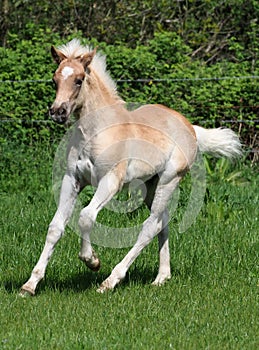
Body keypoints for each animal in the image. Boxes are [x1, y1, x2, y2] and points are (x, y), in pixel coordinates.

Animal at [20, 39, 244, 296]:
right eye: (54, 79)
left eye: (78, 79)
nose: (58, 112)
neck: (96, 132)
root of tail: (191, 129)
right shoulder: (72, 179)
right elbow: (55, 227)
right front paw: (30, 285)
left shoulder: (110, 181)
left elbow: (86, 217)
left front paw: (92, 261)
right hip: (150, 185)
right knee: (162, 221)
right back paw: (161, 277)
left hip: (169, 180)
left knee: (150, 226)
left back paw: (110, 281)